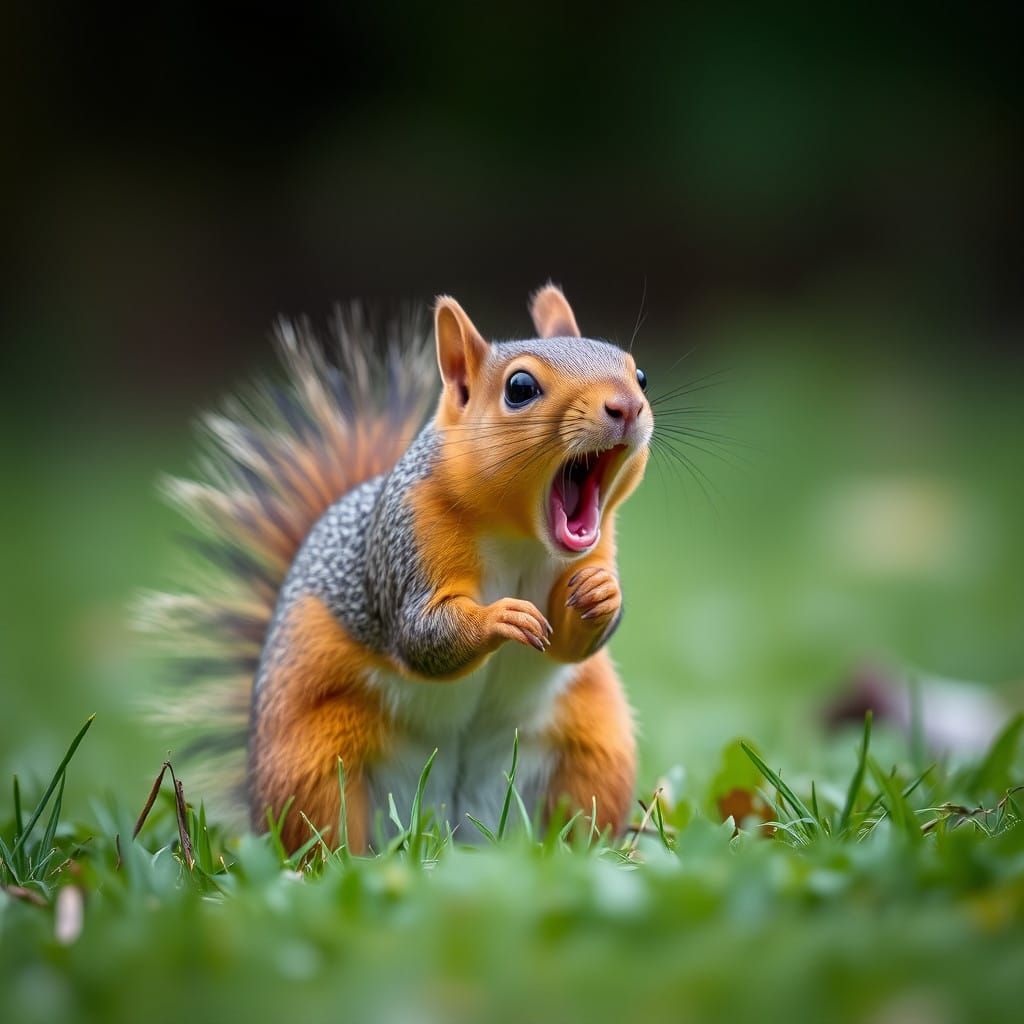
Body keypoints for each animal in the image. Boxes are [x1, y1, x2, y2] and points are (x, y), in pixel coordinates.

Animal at [146, 285, 652, 853]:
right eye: (520, 388)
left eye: (639, 375)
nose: (628, 406)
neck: (521, 538)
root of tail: (457, 828)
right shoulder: (405, 543)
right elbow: (418, 633)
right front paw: (499, 617)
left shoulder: (595, 545)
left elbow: (570, 644)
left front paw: (603, 594)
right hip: (311, 761)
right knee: (324, 835)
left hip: (592, 748)